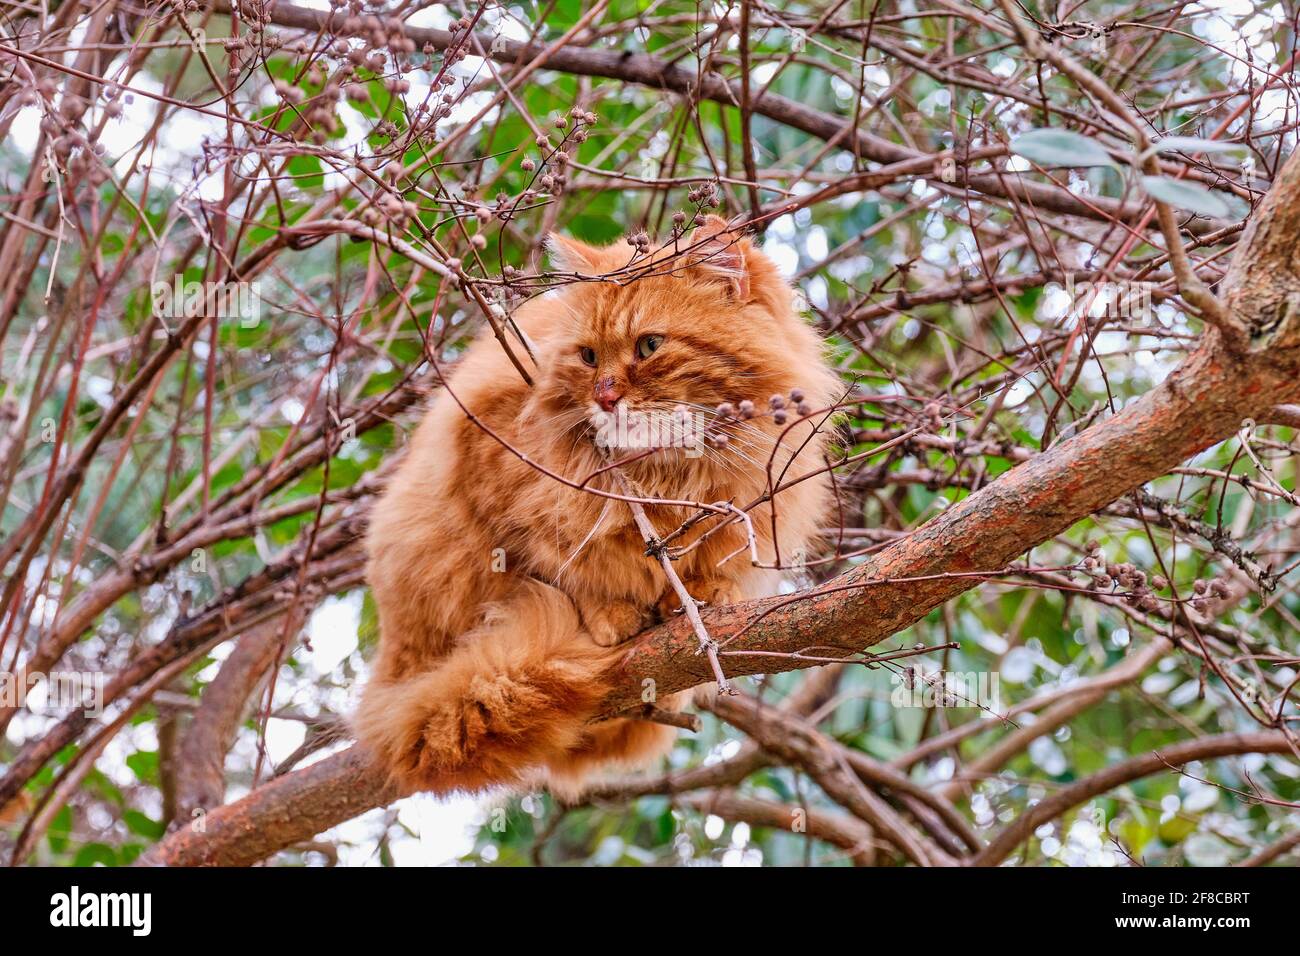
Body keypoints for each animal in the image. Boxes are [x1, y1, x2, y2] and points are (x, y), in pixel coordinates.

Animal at [353, 217, 842, 801]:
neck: (666, 474)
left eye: (649, 345)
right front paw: (610, 612)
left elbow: (705, 567)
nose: (605, 397)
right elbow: (565, 570)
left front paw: (701, 596)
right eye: (588, 357)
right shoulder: (495, 478)